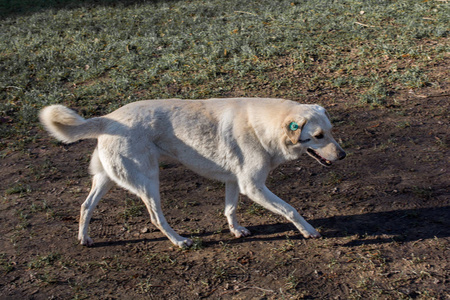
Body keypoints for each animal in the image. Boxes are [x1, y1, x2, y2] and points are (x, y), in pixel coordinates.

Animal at [40, 97, 346, 247]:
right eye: (318, 136)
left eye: (331, 131)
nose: (343, 155)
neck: (263, 126)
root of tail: (108, 119)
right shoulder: (254, 186)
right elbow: (290, 209)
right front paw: (309, 231)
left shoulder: (235, 182)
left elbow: (230, 209)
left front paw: (236, 230)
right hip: (148, 182)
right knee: (156, 218)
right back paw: (179, 241)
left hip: (106, 179)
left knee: (85, 206)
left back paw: (84, 239)